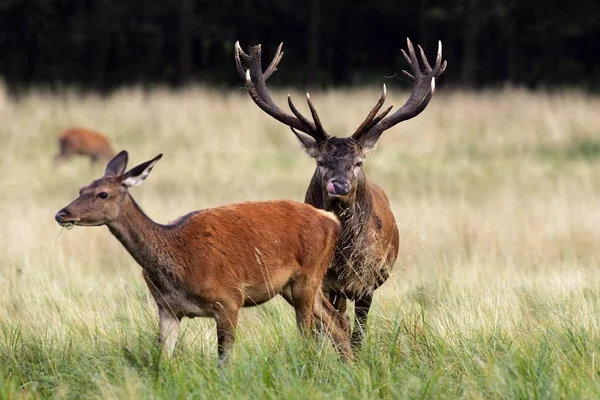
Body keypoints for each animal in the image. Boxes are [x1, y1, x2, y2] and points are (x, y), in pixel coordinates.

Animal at [54, 150, 354, 362]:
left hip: (308, 275)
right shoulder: (167, 308)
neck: (178, 266)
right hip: (293, 287)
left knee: (310, 334)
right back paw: (349, 369)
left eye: (102, 194)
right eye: (81, 189)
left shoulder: (229, 299)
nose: (62, 213)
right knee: (337, 322)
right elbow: (161, 359)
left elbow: (223, 361)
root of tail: (331, 220)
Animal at [234, 38, 446, 350]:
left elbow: (358, 333)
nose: (340, 185)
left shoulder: (367, 279)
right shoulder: (319, 280)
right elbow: (318, 329)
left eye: (358, 163)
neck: (343, 258)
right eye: (321, 162)